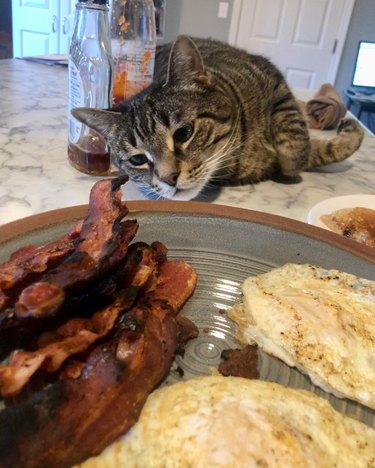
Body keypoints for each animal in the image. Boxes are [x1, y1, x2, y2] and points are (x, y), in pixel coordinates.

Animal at [72, 34, 364, 199]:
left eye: (184, 133)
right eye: (137, 159)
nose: (168, 179)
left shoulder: (275, 82)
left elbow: (297, 145)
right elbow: (315, 150)